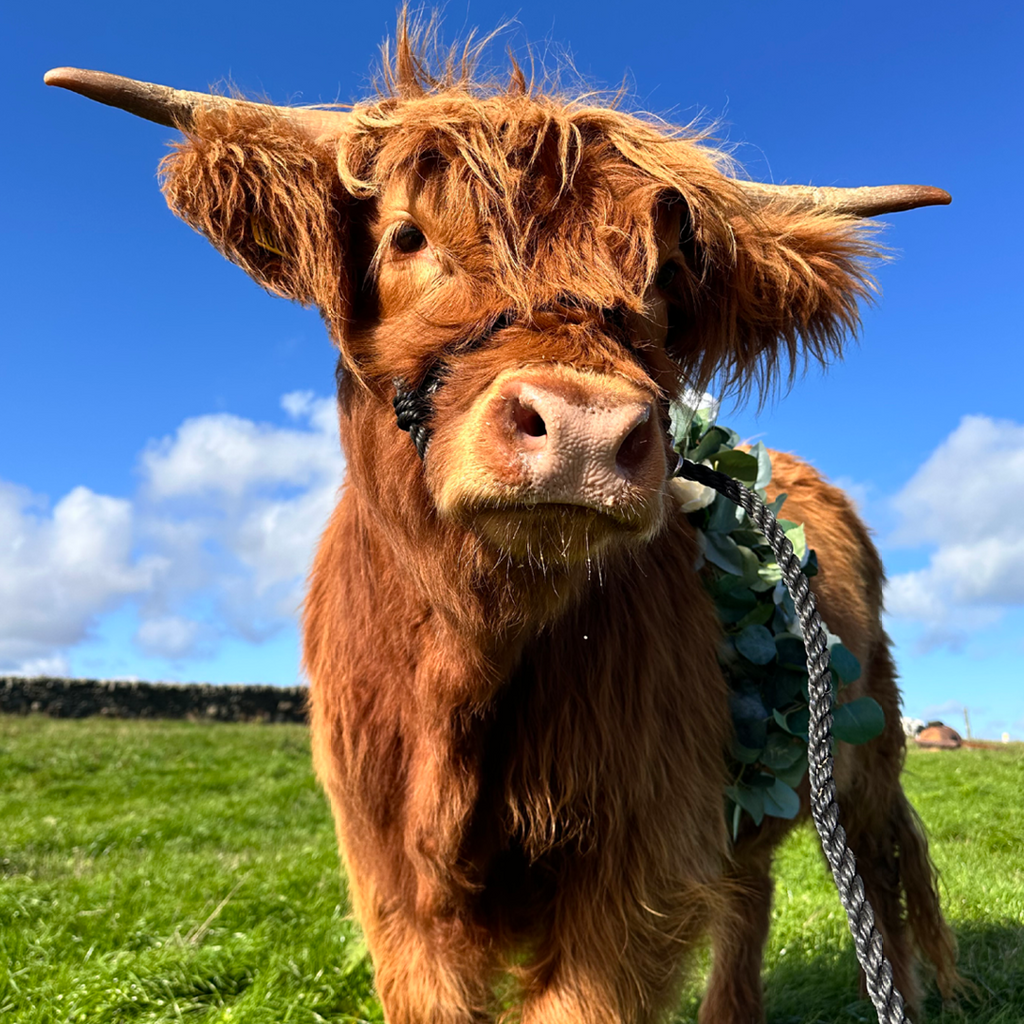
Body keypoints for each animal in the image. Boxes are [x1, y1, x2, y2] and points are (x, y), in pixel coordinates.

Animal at [46, 23, 959, 1024]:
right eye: (407, 235)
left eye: (663, 283)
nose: (585, 431)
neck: (462, 662)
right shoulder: (393, 885)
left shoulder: (634, 872)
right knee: (752, 889)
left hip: (866, 754)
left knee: (875, 865)